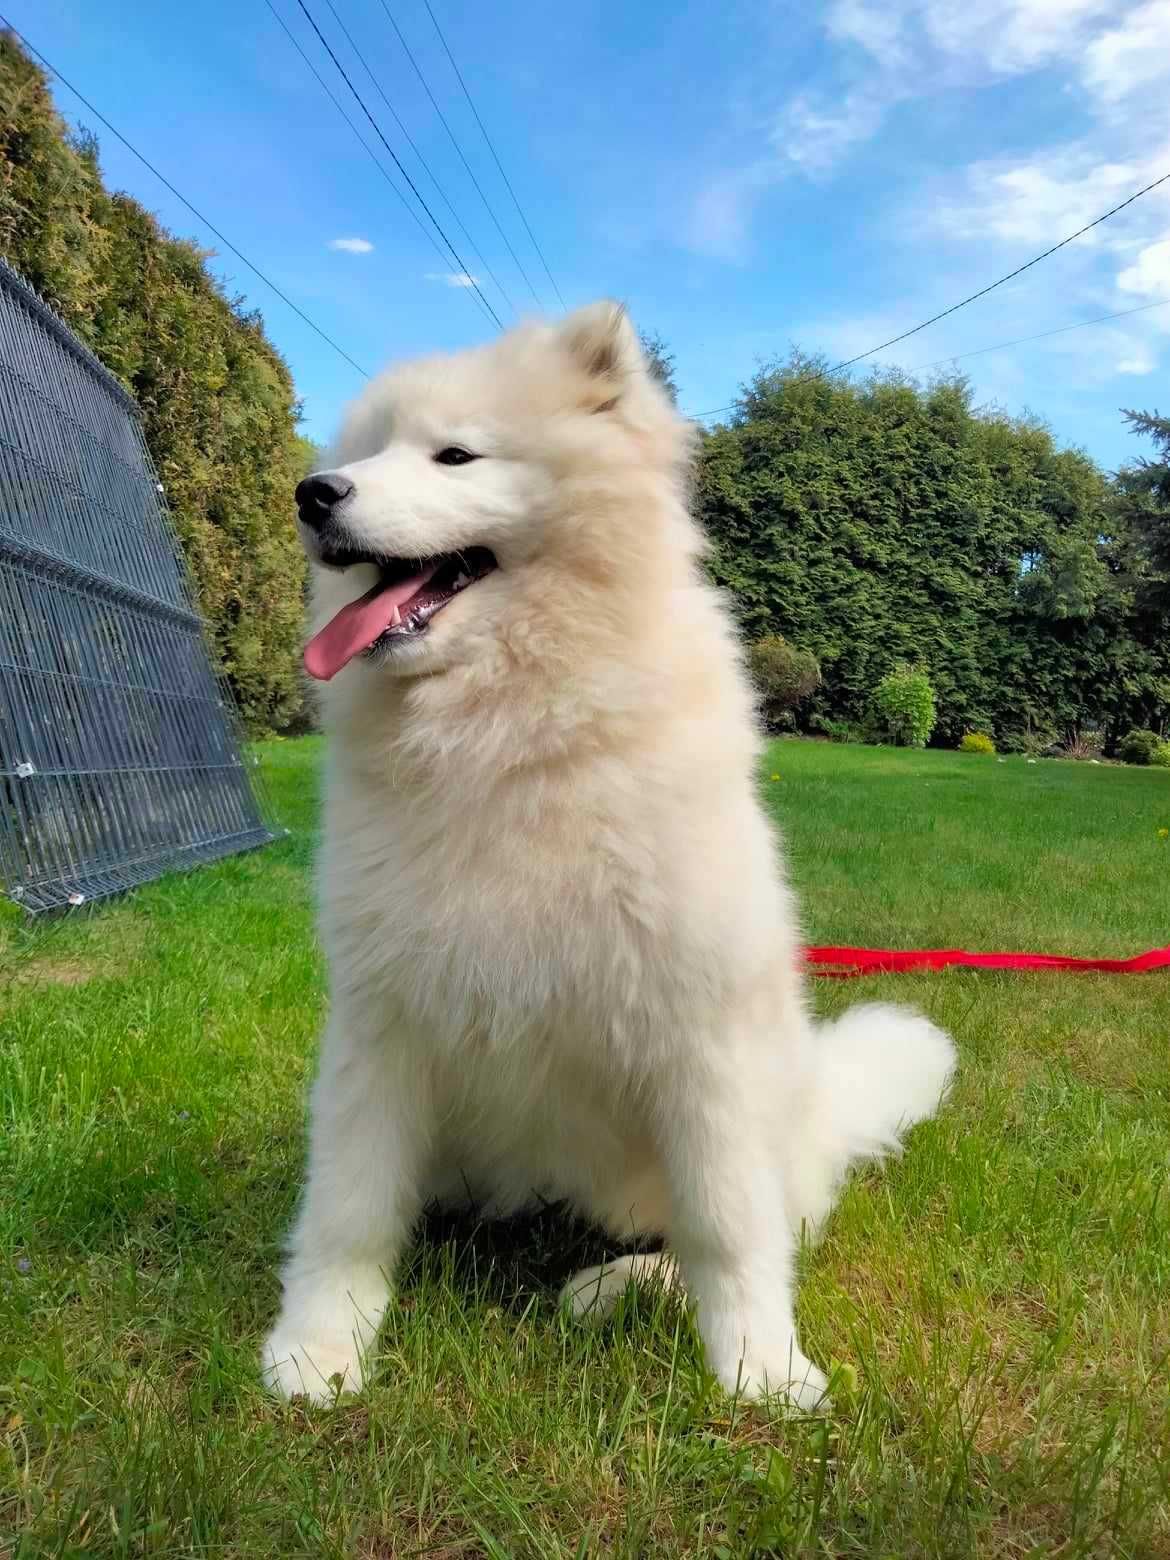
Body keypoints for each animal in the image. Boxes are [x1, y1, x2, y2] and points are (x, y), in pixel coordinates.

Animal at [260, 297, 954, 1410]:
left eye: (455, 456)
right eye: (363, 455)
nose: (313, 494)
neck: (508, 741)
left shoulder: (699, 1037)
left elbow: (729, 1231)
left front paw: (760, 1371)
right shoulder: (383, 1023)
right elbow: (350, 1209)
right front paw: (318, 1349)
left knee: (733, 1228)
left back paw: (608, 1288)